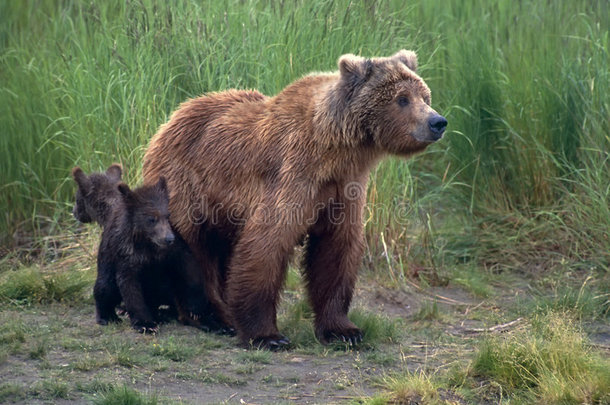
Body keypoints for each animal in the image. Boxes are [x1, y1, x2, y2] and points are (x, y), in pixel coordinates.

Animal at [142, 49, 446, 348]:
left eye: (425, 96)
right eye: (402, 99)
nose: (437, 122)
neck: (336, 151)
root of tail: (170, 119)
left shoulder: (344, 188)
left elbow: (336, 251)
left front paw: (344, 330)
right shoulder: (293, 175)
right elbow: (267, 244)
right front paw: (267, 335)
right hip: (188, 184)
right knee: (193, 248)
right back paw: (212, 317)